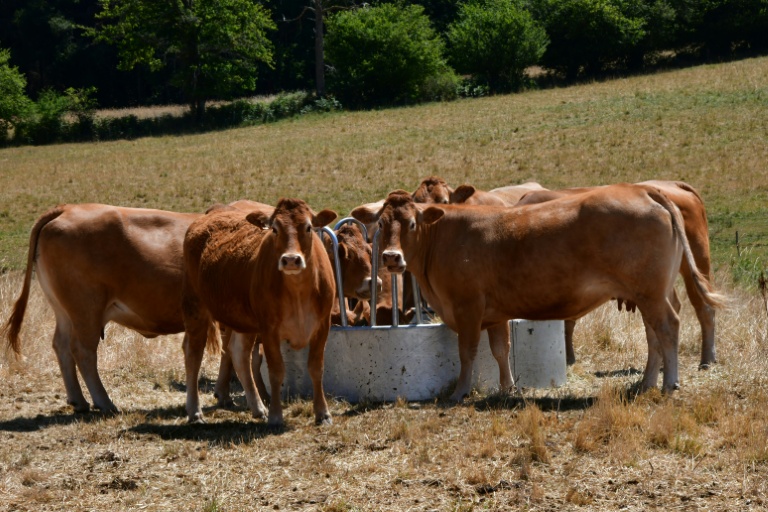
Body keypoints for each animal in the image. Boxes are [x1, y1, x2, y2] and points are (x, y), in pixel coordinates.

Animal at [181, 198, 337, 426]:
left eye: (308, 227)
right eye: (274, 229)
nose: (291, 259)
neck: (298, 291)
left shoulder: (322, 326)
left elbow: (316, 369)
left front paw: (323, 413)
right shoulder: (269, 330)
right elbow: (276, 371)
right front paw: (276, 415)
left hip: (242, 321)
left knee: (238, 354)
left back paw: (257, 407)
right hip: (195, 308)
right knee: (193, 354)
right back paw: (195, 411)